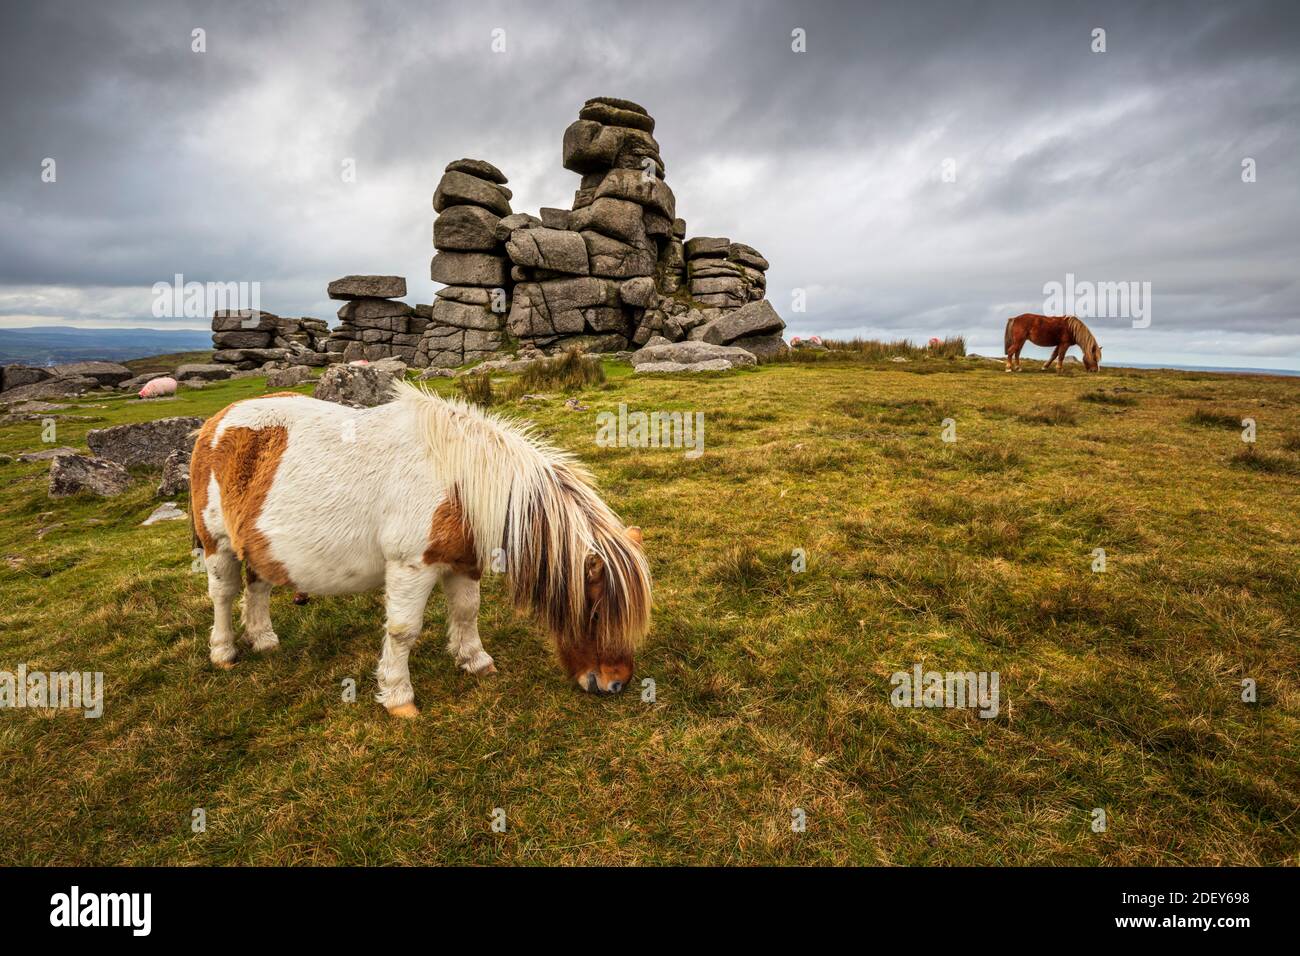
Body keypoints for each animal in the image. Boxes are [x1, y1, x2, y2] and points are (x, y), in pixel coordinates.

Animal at [189, 383, 652, 717]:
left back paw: (264, 640)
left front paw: (475, 661)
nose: (615, 684)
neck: (462, 481)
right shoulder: (411, 566)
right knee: (223, 595)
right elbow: (403, 630)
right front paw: (398, 698)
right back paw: (224, 652)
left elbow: (466, 612)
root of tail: (216, 421)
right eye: (596, 613)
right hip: (216, 544)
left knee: (258, 588)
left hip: (260, 546)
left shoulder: (463, 563)